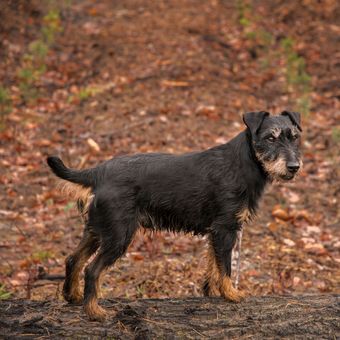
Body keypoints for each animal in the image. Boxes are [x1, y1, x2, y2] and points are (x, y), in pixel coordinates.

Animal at [45, 110, 302, 320]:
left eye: (294, 137)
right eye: (270, 138)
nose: (294, 167)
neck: (244, 162)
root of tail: (98, 172)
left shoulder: (215, 232)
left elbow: (213, 265)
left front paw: (212, 292)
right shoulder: (225, 229)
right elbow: (226, 266)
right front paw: (231, 294)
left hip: (97, 230)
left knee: (73, 259)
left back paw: (73, 296)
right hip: (118, 235)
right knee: (92, 270)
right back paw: (94, 311)